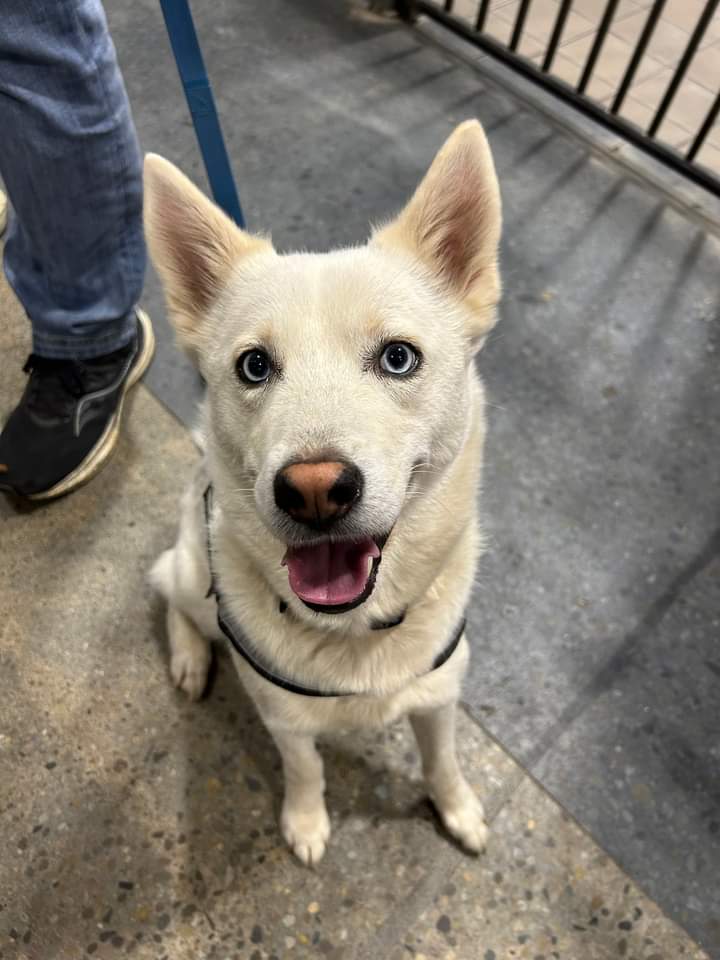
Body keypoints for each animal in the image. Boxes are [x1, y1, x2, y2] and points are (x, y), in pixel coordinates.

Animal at [145, 120, 500, 864]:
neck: (356, 634)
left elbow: (443, 759)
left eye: (398, 358)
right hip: (193, 575)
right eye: (254, 366)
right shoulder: (282, 718)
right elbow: (305, 768)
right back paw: (189, 658)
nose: (312, 491)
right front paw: (306, 822)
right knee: (169, 592)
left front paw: (456, 810)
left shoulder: (440, 694)